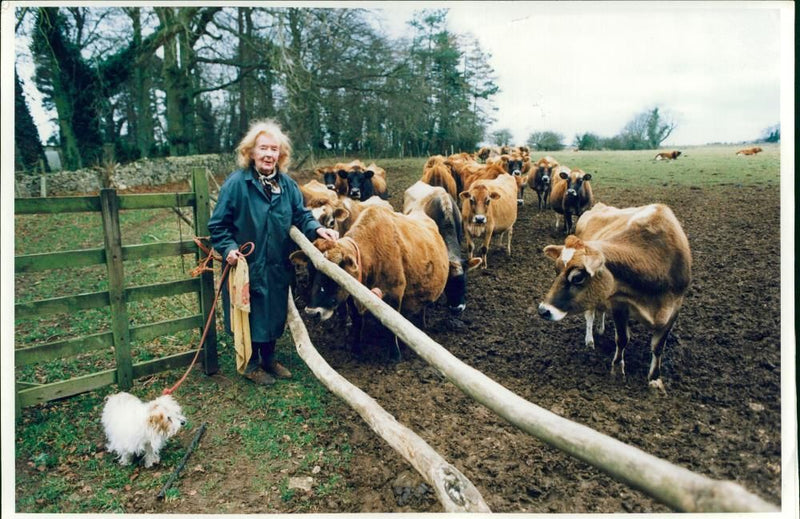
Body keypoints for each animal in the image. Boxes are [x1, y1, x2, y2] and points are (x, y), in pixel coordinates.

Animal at [290, 206, 450, 362]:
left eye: (332, 276)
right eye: (310, 269)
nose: (312, 312)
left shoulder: (394, 294)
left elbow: (391, 328)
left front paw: (395, 355)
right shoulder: (352, 297)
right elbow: (357, 320)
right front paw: (355, 347)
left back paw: (421, 324)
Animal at [536, 201, 692, 392]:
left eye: (578, 277)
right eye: (556, 271)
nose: (543, 310)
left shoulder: (675, 309)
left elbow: (658, 347)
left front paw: (655, 378)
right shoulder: (620, 303)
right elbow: (622, 338)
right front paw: (617, 369)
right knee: (590, 315)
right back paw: (590, 340)